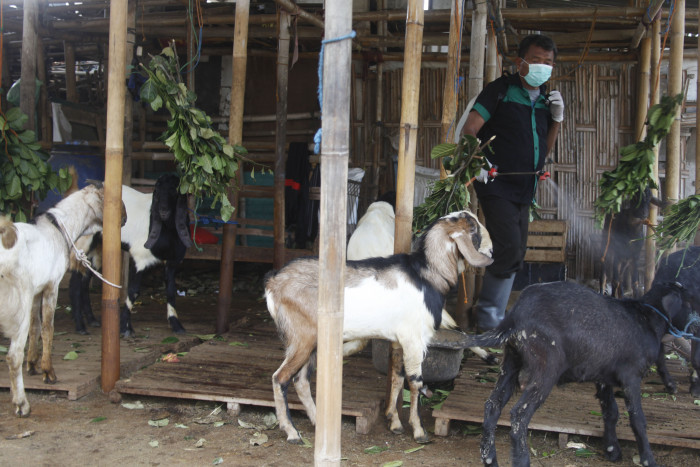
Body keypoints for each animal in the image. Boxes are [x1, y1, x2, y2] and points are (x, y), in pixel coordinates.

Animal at [0, 185, 123, 418]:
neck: (58, 226)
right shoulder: (51, 286)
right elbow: (48, 328)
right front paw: (48, 373)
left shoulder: (37, 291)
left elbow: (36, 327)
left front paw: (33, 365)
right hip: (18, 304)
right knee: (13, 356)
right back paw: (22, 404)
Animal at [70, 175, 193, 336]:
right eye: (157, 191)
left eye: (175, 190)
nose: (163, 211)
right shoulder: (140, 258)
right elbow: (133, 291)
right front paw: (125, 327)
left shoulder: (172, 262)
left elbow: (171, 291)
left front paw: (177, 325)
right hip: (83, 241)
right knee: (76, 281)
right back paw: (80, 326)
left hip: (97, 248)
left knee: (85, 279)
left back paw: (92, 320)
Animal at [262, 210, 492, 444]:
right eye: (474, 228)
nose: (491, 250)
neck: (426, 275)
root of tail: (274, 282)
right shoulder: (414, 339)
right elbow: (416, 382)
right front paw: (419, 430)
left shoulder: (400, 340)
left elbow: (397, 378)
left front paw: (394, 421)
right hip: (302, 338)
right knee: (280, 378)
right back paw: (292, 432)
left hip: (314, 343)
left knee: (300, 380)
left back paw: (317, 422)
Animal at [464, 282, 688, 467]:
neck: (645, 318)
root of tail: (514, 317)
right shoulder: (631, 377)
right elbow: (637, 420)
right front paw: (648, 459)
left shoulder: (603, 377)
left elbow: (611, 412)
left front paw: (612, 450)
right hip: (546, 369)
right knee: (519, 415)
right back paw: (521, 461)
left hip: (511, 363)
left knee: (492, 406)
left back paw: (490, 460)